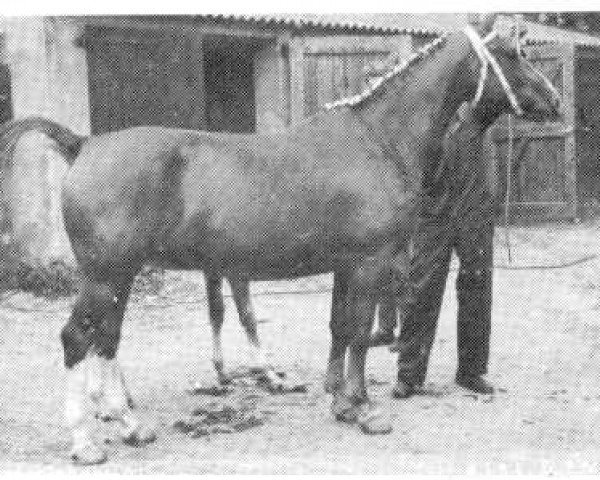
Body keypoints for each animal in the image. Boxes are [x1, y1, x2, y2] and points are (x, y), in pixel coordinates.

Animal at [0, 15, 560, 464]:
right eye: (512, 53)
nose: (554, 100)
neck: (378, 139)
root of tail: (84, 143)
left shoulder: (346, 266)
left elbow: (340, 329)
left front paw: (340, 401)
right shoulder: (370, 263)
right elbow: (360, 334)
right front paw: (364, 411)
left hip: (119, 277)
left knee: (106, 340)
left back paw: (132, 427)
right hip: (106, 275)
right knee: (78, 339)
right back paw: (86, 443)